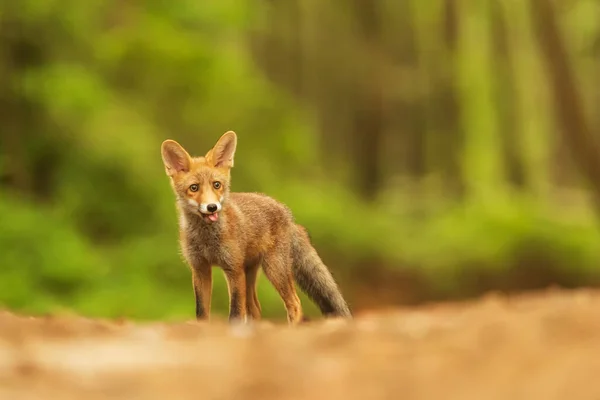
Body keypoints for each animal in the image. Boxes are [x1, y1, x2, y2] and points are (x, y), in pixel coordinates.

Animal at [162, 131, 354, 324]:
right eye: (194, 188)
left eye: (217, 185)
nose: (212, 207)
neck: (206, 239)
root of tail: (287, 213)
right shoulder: (200, 269)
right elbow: (201, 313)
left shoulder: (233, 269)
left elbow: (235, 313)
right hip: (251, 271)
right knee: (255, 307)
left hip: (274, 269)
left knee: (294, 303)